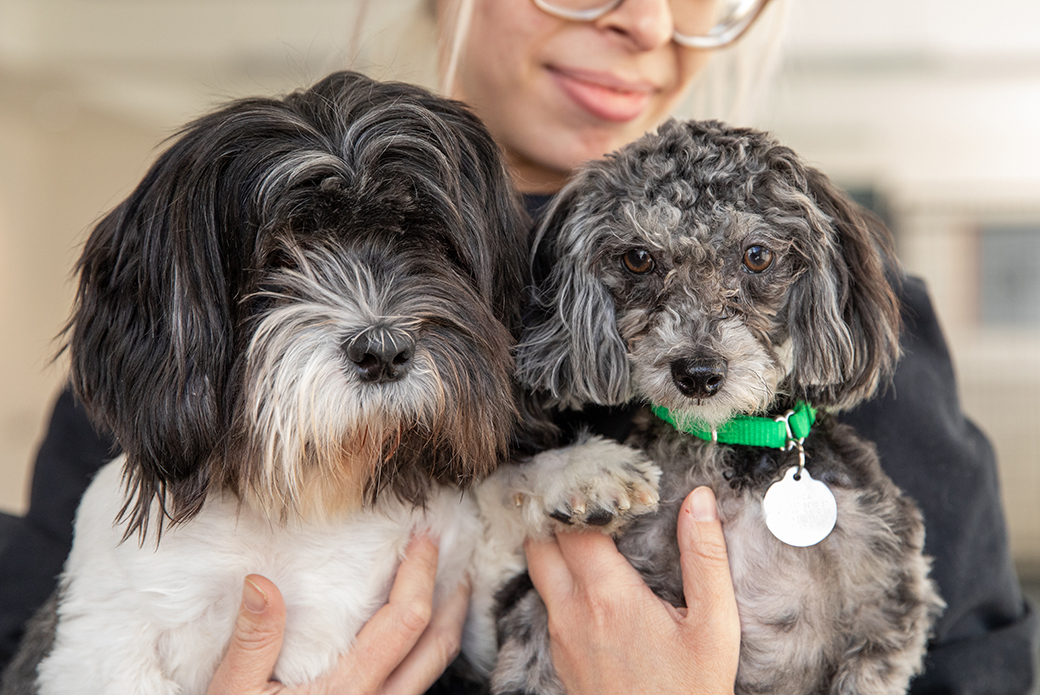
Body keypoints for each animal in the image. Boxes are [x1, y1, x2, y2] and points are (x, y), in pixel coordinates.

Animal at [6, 70, 544, 695]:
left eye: (423, 239)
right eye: (280, 254)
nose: (383, 350)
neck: (313, 496)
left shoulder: (460, 599)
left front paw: (576, 477)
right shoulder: (104, 642)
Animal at [495, 120, 944, 695]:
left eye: (757, 255)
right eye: (638, 258)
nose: (698, 373)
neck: (735, 456)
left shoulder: (887, 611)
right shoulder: (535, 608)